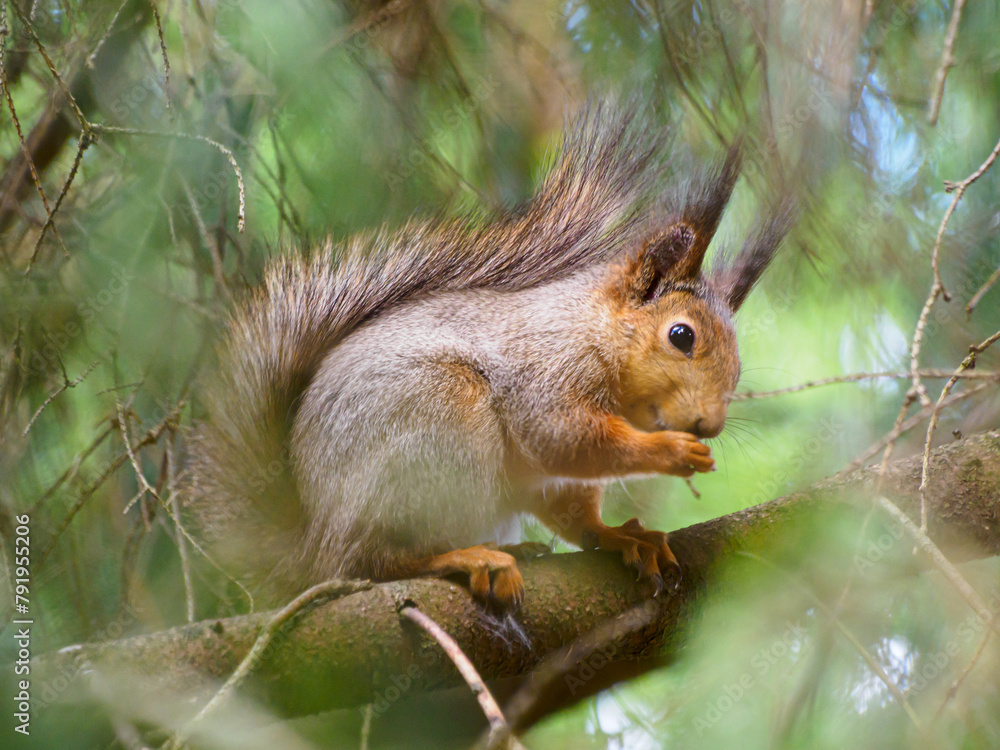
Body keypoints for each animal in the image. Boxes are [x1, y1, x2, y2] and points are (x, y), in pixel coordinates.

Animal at [187, 104, 791, 612]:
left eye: (739, 367)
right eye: (681, 336)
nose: (709, 425)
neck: (595, 332)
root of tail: (311, 542)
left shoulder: (555, 475)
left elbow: (573, 506)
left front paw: (622, 535)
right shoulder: (545, 370)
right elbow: (562, 438)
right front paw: (669, 451)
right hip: (440, 420)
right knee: (373, 561)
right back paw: (467, 557)